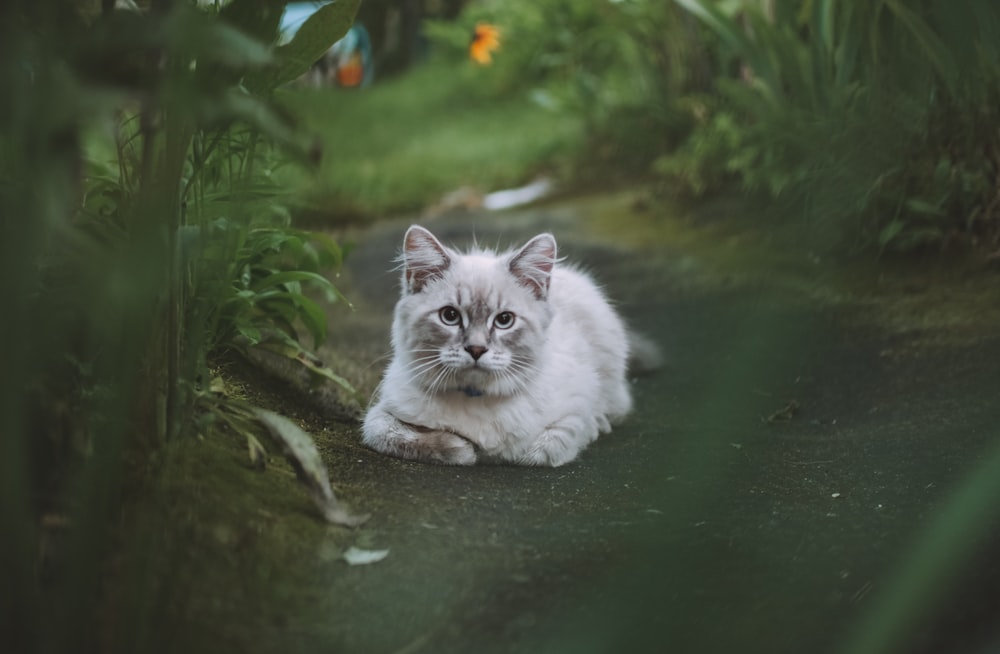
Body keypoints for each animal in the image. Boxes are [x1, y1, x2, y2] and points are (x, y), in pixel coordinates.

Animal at [364, 226, 636, 466]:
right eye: (450, 316)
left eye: (504, 320)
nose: (476, 350)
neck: (475, 395)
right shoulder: (382, 413)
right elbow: (394, 434)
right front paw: (463, 449)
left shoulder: (574, 410)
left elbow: (542, 449)